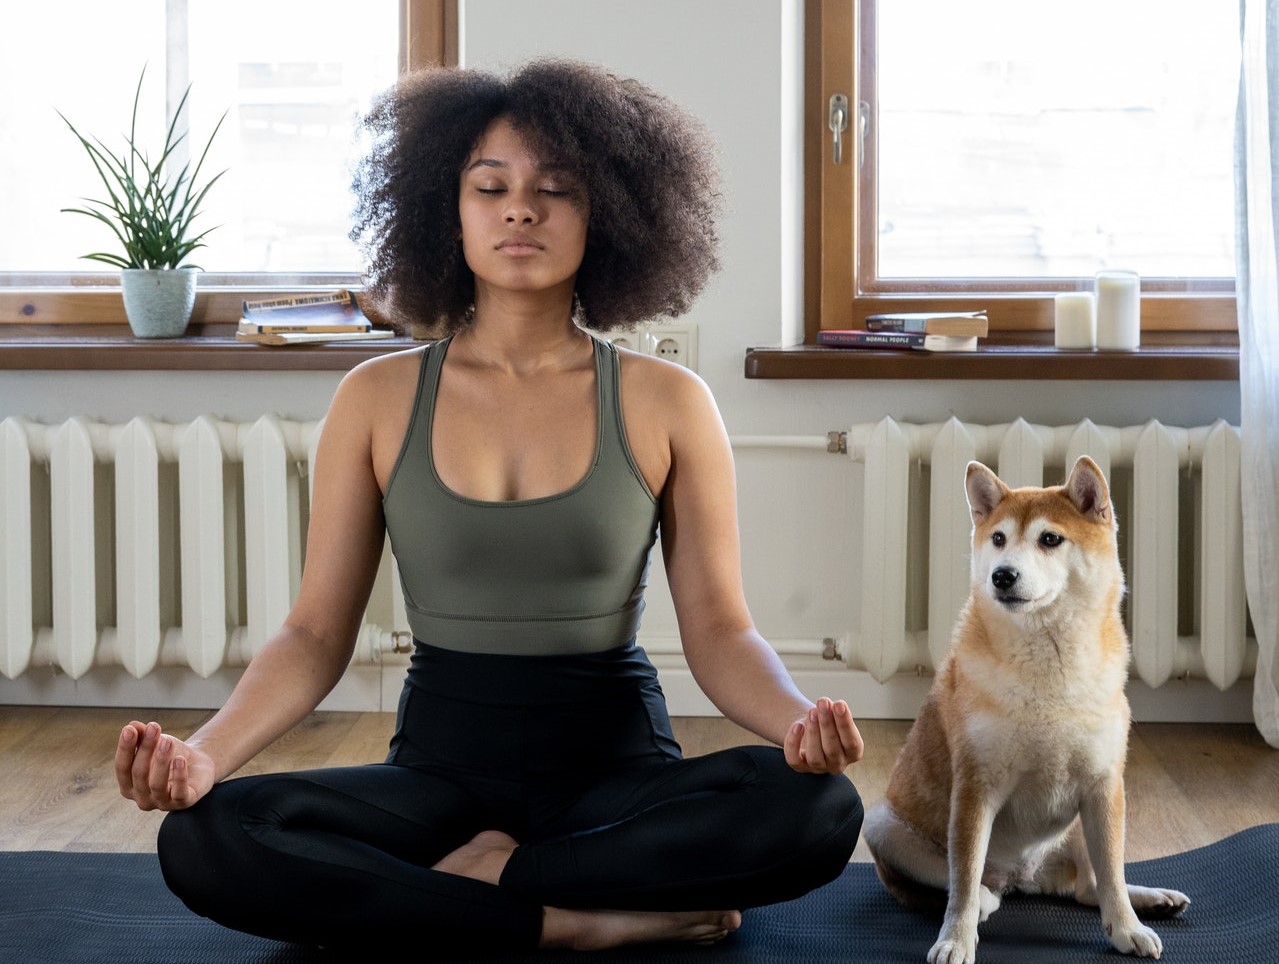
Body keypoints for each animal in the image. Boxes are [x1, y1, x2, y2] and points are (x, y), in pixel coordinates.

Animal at [864, 457, 1192, 961]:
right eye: (999, 539)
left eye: (1050, 539)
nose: (1002, 575)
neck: (1048, 668)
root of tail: (1023, 878)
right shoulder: (975, 789)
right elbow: (962, 880)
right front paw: (955, 939)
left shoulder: (1103, 785)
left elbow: (1112, 875)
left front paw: (1126, 927)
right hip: (882, 823)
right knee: (969, 885)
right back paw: (985, 898)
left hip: (1079, 826)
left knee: (1090, 887)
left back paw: (1152, 900)